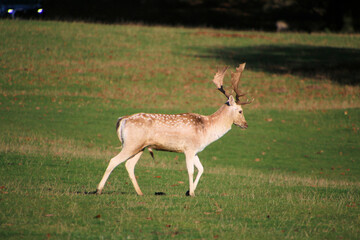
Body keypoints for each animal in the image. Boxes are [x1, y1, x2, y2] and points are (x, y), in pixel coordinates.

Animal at [97, 62, 252, 196]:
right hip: (131, 143)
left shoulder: (195, 150)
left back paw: (140, 192)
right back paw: (99, 190)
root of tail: (123, 119)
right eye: (240, 111)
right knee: (113, 160)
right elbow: (190, 170)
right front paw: (192, 193)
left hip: (139, 146)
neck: (207, 129)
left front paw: (189, 191)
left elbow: (201, 169)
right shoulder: (189, 148)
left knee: (129, 165)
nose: (246, 125)